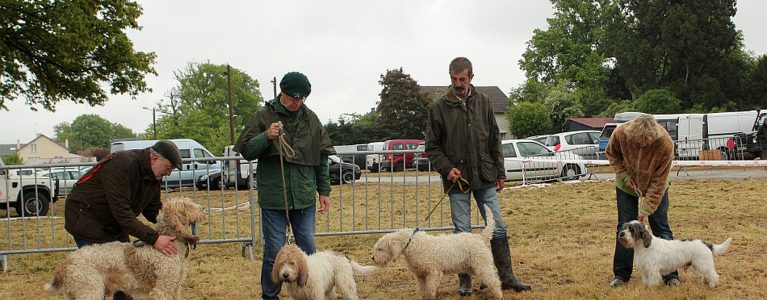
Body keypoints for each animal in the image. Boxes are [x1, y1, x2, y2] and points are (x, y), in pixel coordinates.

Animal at [44, 198, 204, 298]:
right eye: (188, 206)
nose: (203, 208)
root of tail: (67, 261)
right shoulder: (161, 290)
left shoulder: (175, 288)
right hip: (90, 291)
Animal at [372, 205, 504, 300]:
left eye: (380, 248)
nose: (373, 258)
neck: (413, 244)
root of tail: (480, 237)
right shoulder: (420, 275)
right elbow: (422, 290)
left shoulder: (433, 273)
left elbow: (430, 289)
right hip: (474, 266)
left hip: (481, 265)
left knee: (494, 281)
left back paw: (498, 295)